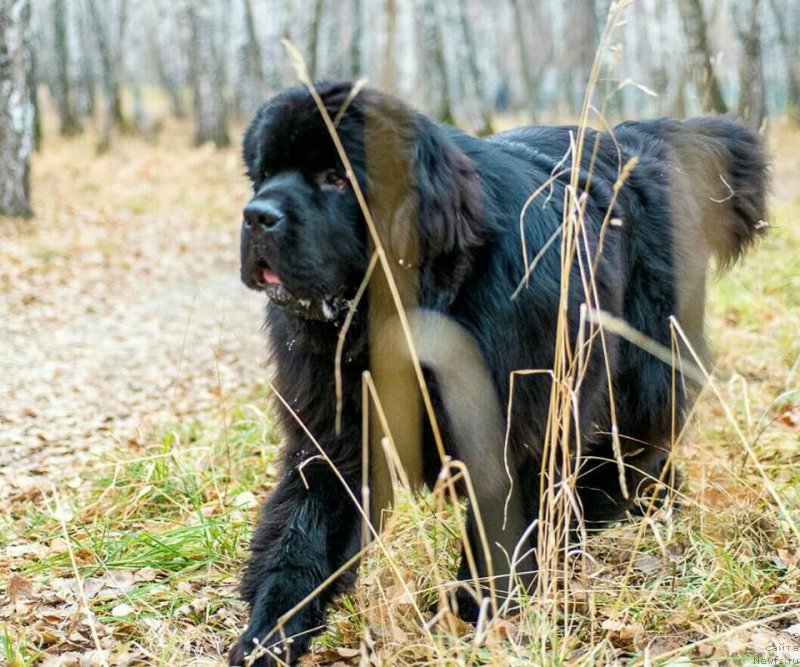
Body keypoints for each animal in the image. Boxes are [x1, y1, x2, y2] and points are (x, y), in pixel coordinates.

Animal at [230, 81, 768, 664]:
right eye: (262, 174)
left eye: (336, 178)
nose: (257, 215)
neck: (421, 305)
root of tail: (635, 138)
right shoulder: (337, 430)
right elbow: (303, 529)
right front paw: (270, 630)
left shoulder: (519, 420)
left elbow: (501, 522)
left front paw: (478, 613)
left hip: (642, 371)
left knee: (634, 450)